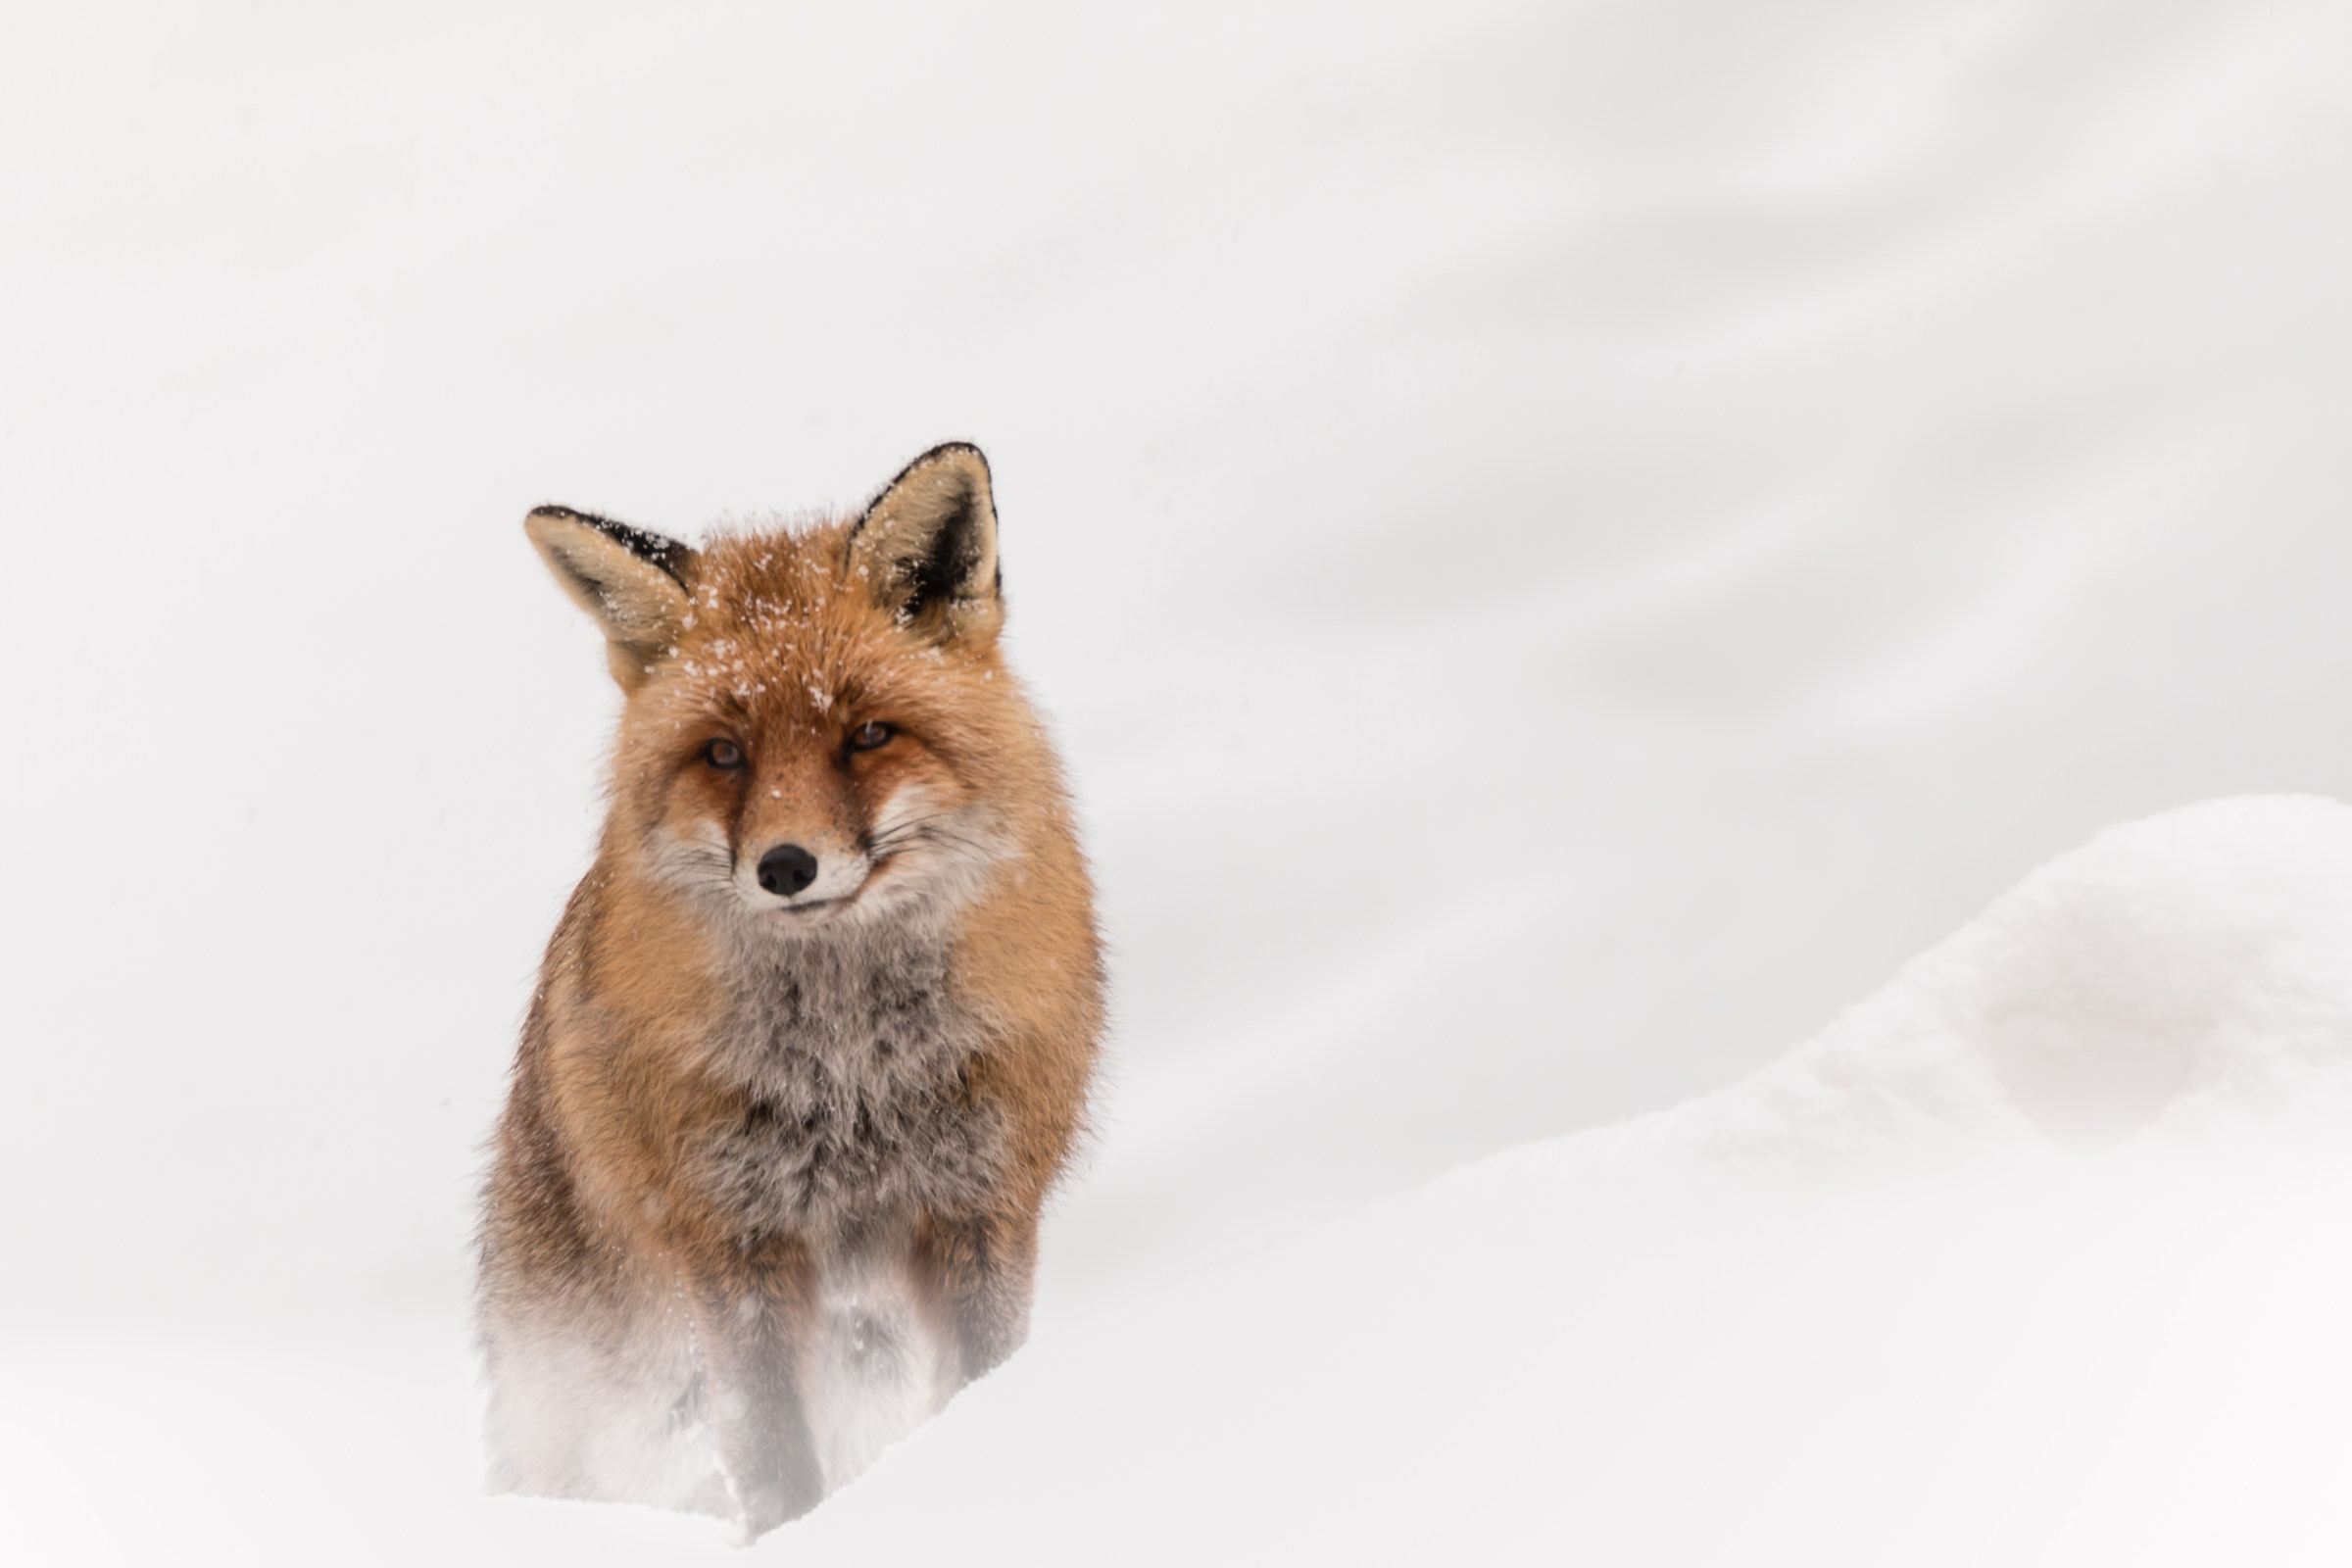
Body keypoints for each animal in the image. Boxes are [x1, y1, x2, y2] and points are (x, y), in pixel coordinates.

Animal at [475, 443, 1104, 1538]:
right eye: (724, 754)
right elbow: (773, 1451)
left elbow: (983, 1378)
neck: (854, 1074)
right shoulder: (732, 1238)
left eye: (868, 735)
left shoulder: (981, 1205)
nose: (784, 867)